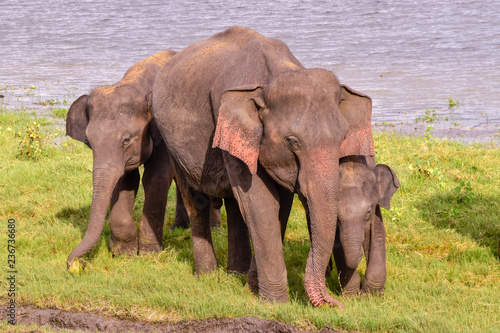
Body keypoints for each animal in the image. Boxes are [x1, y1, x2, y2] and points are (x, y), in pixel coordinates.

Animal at [66, 48, 186, 268]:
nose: (74, 263)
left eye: (127, 139)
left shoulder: (162, 135)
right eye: (89, 141)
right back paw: (179, 228)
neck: (134, 83)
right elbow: (126, 182)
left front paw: (149, 254)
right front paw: (124, 253)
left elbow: (155, 179)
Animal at [152, 27, 376, 308]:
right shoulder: (229, 125)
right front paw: (275, 303)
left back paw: (235, 274)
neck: (274, 74)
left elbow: (280, 203)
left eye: (343, 136)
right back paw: (206, 275)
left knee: (235, 206)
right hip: (171, 141)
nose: (335, 303)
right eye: (293, 142)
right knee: (196, 200)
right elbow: (261, 203)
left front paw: (253, 288)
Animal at [334, 156, 400, 296]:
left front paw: (371, 295)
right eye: (337, 216)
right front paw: (351, 296)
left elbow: (378, 235)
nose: (359, 253)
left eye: (368, 211)